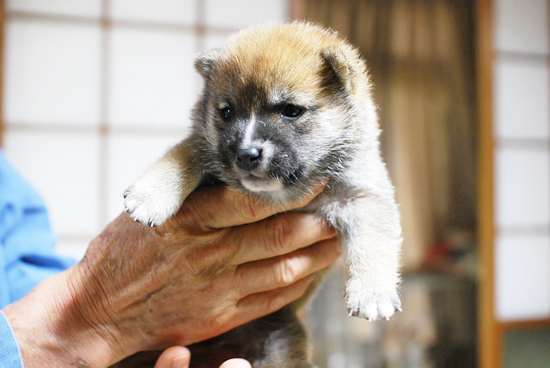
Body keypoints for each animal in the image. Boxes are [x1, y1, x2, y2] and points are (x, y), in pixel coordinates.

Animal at [123, 21, 404, 366]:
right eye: (227, 112)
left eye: (291, 111)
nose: (246, 154)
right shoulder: (207, 149)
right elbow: (184, 155)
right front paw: (151, 196)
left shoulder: (360, 196)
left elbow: (373, 243)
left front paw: (372, 293)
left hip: (280, 338)